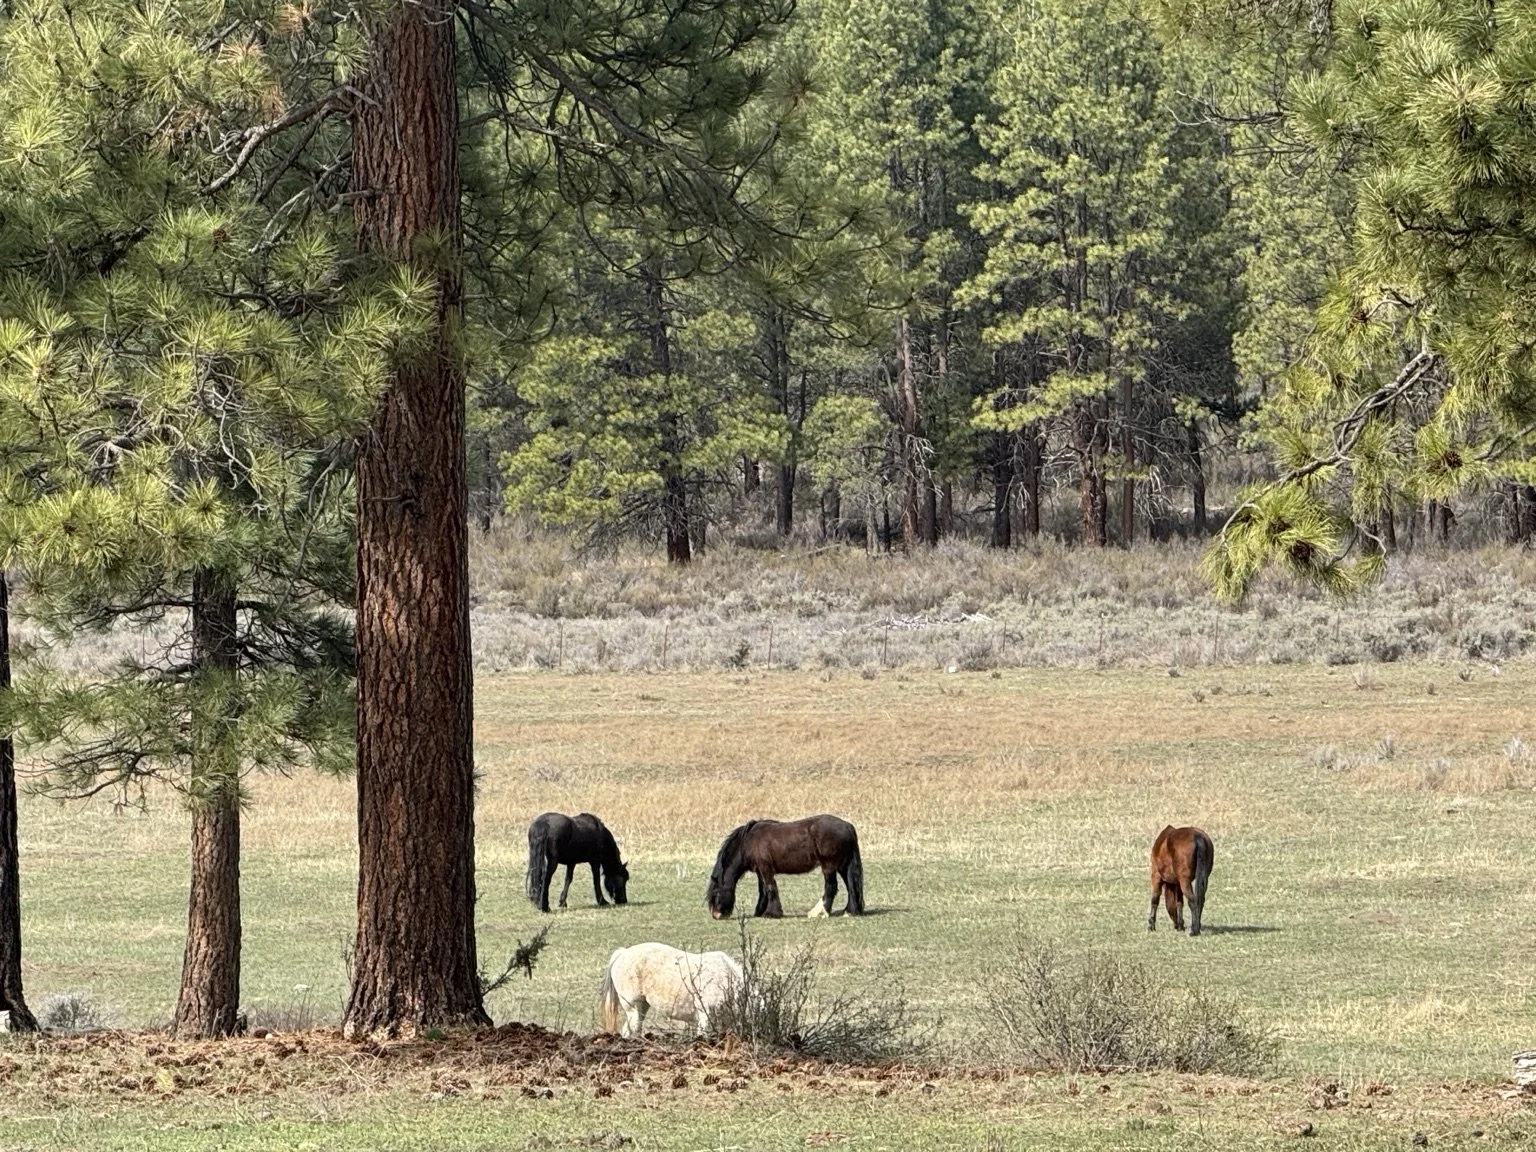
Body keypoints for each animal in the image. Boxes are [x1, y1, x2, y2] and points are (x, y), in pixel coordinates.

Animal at [706, 814, 864, 919]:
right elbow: (763, 890)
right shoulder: (760, 871)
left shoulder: (766, 869)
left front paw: (771, 913)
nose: (716, 915)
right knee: (851, 886)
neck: (748, 842)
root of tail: (847, 826)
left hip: (829, 865)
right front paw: (759, 911)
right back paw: (849, 911)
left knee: (831, 886)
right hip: (843, 866)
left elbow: (770, 888)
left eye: (716, 893)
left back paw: (820, 912)